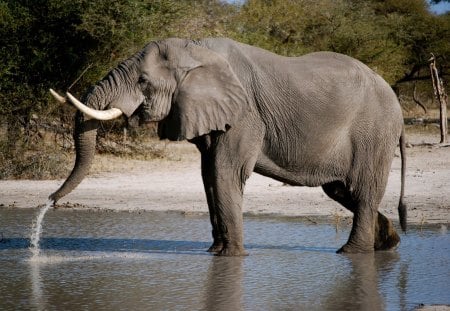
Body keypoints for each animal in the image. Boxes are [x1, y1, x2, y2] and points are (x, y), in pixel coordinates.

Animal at [50, 37, 408, 256]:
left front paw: (232, 256)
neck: (195, 49)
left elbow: (225, 173)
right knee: (341, 190)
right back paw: (387, 243)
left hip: (374, 132)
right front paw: (214, 254)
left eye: (143, 81)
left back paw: (351, 252)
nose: (51, 200)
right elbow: (209, 175)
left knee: (362, 190)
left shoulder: (245, 114)